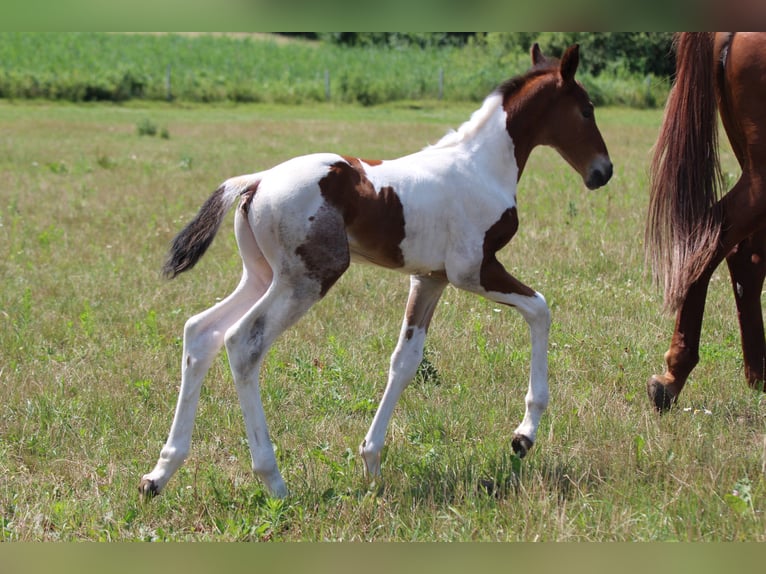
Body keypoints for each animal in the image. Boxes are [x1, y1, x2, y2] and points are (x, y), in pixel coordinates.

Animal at [139, 43, 613, 499]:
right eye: (587, 109)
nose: (603, 171)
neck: (480, 166)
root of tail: (256, 181)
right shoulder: (473, 270)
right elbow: (540, 310)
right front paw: (523, 435)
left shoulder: (430, 279)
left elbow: (405, 361)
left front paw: (370, 460)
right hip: (307, 280)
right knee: (242, 343)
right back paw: (272, 480)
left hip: (261, 276)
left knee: (201, 332)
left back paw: (159, 473)